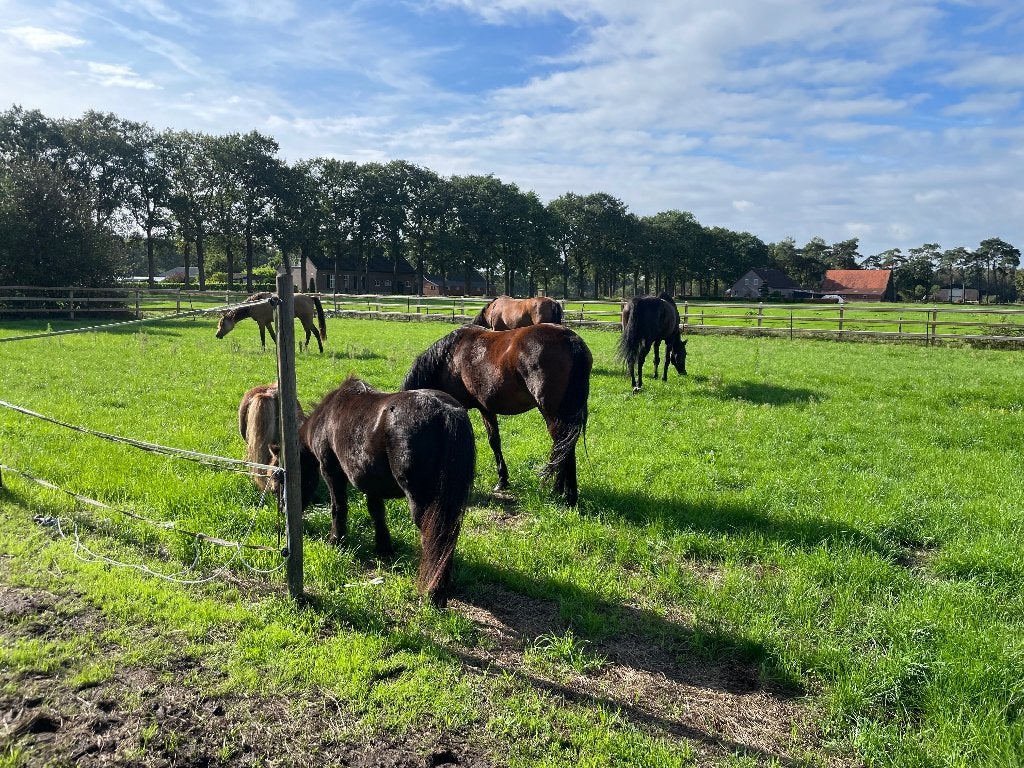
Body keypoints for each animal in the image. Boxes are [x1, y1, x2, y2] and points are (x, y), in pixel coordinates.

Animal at [297, 376, 475, 607]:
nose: (282, 508)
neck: (325, 418)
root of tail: (445, 411)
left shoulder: (331, 472)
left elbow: (338, 507)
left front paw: (336, 541)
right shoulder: (370, 482)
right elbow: (377, 512)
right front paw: (383, 547)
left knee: (434, 538)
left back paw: (434, 593)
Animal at [402, 323, 591, 506]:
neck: (449, 358)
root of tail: (569, 338)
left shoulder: (472, 408)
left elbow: (488, 441)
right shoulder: (487, 408)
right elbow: (496, 441)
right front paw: (503, 480)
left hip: (553, 414)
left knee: (563, 446)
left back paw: (568, 497)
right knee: (564, 447)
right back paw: (561, 490)